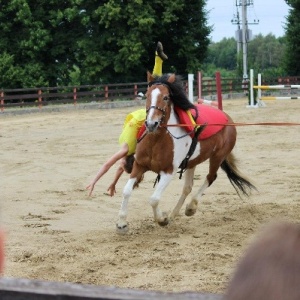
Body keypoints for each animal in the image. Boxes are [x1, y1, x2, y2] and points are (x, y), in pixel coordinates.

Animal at [116, 71, 256, 233]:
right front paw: (121, 223)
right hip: (191, 162)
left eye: (166, 97)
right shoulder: (139, 166)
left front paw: (161, 219)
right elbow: (127, 191)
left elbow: (154, 199)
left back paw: (190, 207)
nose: (151, 124)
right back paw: (173, 215)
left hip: (217, 157)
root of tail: (228, 119)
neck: (157, 140)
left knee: (210, 178)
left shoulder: (168, 171)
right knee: (187, 187)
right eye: (147, 95)